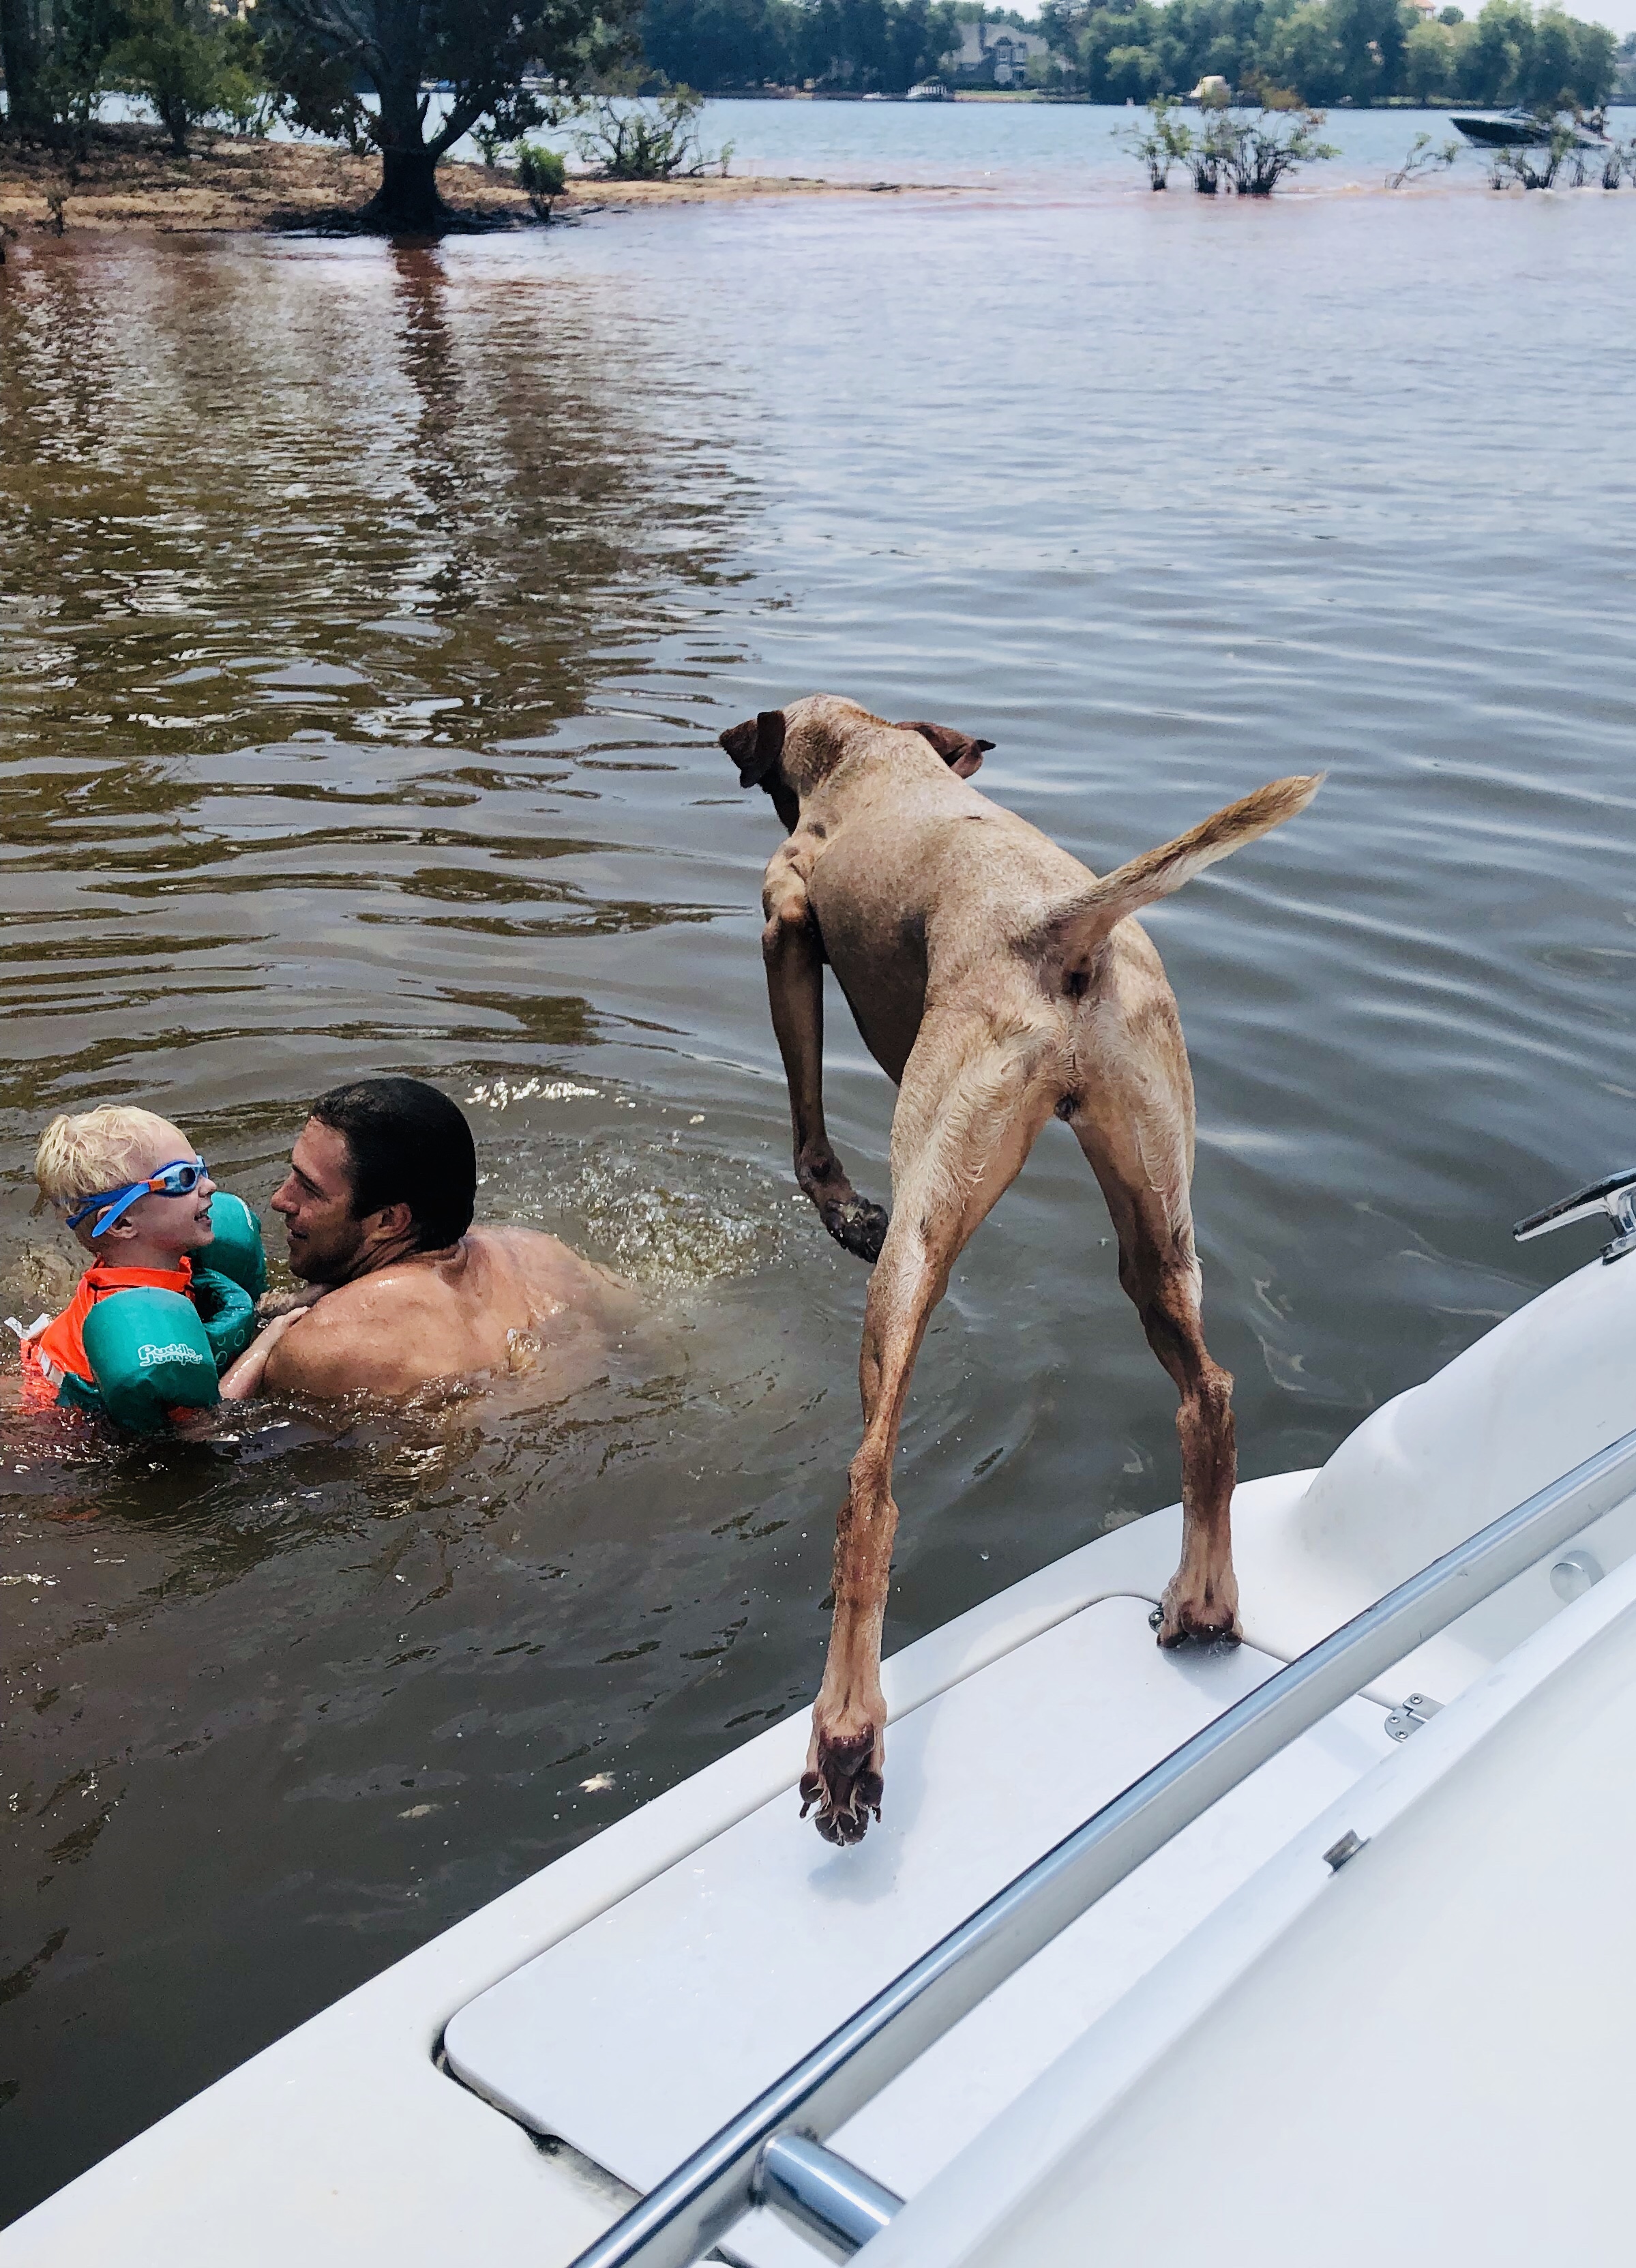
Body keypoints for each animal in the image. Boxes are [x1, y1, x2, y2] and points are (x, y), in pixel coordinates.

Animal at [720, 696, 1321, 1845]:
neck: (869, 746)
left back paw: (846, 1736)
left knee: (871, 1484)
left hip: (925, 1230)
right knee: (1208, 1396)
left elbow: (804, 1107)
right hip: (1151, 1219)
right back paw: (1201, 1602)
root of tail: (1056, 929)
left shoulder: (784, 925)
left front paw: (838, 1204)